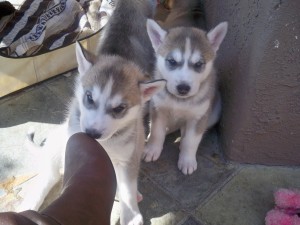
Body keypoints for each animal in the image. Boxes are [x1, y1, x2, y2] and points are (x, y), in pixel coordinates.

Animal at [18, 0, 164, 224]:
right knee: (50, 173)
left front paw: (130, 214)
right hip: (58, 143)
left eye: (119, 109)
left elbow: (128, 189)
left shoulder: (129, 156)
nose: (92, 134)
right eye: (89, 97)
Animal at [144, 3, 227, 176]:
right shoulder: (158, 109)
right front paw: (152, 149)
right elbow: (157, 132)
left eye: (199, 64)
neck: (179, 101)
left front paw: (187, 160)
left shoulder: (199, 117)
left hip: (214, 112)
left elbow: (191, 140)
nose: (183, 88)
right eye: (172, 61)